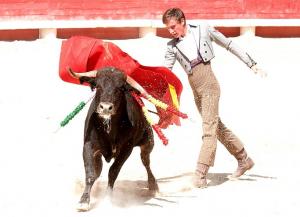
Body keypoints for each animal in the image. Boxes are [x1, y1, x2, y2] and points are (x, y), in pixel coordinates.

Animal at [69, 67, 158, 210]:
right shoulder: (88, 146)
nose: (106, 107)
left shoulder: (126, 149)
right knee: (98, 170)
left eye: (121, 88)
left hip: (148, 142)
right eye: (98, 86)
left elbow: (113, 171)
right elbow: (90, 173)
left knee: (146, 162)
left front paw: (107, 198)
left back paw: (153, 185)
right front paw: (84, 201)